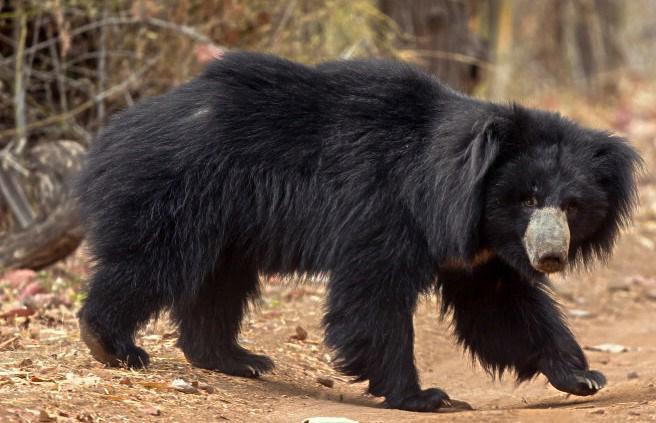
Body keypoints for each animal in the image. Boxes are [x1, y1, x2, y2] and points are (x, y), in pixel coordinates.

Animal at [77, 51, 640, 412]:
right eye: (526, 199)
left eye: (572, 206)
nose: (550, 256)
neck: (457, 195)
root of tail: (116, 129)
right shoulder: (387, 208)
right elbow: (374, 295)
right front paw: (425, 397)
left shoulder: (476, 251)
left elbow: (502, 306)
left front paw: (583, 376)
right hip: (181, 188)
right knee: (152, 260)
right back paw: (113, 344)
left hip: (230, 223)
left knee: (219, 283)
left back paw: (238, 359)